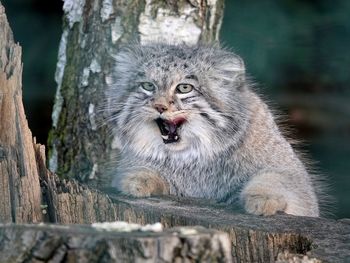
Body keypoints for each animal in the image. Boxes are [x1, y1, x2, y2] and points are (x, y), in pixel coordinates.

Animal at [102, 42, 322, 217]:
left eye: (184, 88)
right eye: (148, 86)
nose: (160, 106)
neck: (192, 156)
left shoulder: (291, 174)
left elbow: (276, 179)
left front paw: (264, 198)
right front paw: (138, 177)